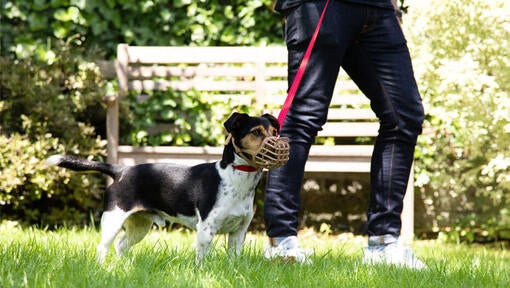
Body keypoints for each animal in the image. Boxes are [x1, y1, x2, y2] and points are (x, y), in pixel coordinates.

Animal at [46, 112, 288, 264]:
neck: (234, 178)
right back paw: (102, 269)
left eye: (274, 132)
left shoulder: (239, 231)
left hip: (140, 225)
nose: (279, 145)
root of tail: (120, 170)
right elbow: (202, 259)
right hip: (113, 220)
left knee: (121, 245)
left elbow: (234, 258)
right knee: (103, 247)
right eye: (255, 132)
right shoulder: (206, 230)